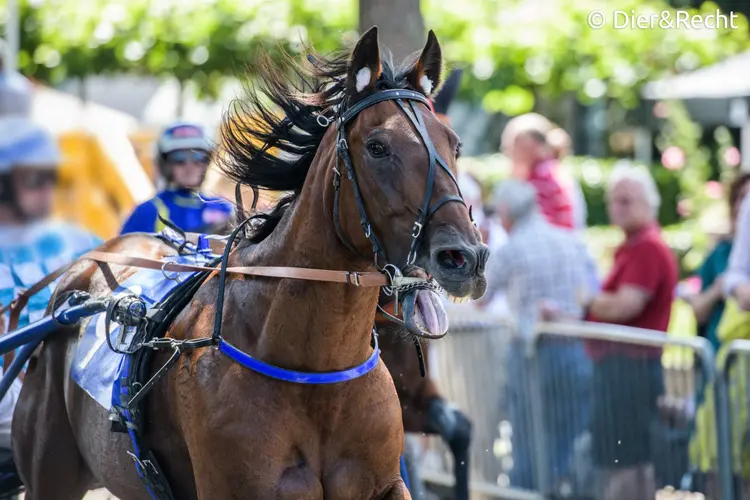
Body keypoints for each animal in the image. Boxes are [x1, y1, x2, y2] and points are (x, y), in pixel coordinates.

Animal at [14, 28, 490, 500]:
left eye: (456, 145)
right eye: (377, 147)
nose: (464, 257)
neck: (315, 372)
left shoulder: (384, 477)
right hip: (50, 473)